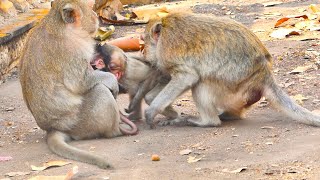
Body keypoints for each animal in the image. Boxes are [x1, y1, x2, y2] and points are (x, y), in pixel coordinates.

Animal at [19, 0, 138, 169]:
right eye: (89, 10)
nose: (95, 15)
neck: (59, 26)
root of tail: (53, 129)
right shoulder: (71, 49)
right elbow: (81, 81)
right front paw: (112, 80)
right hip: (81, 123)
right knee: (100, 90)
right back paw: (115, 131)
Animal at [142, 11, 320, 127]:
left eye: (143, 41)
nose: (142, 52)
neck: (164, 28)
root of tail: (264, 73)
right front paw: (155, 103)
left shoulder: (167, 49)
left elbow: (187, 76)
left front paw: (152, 111)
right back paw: (230, 115)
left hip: (231, 86)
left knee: (201, 83)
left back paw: (208, 122)